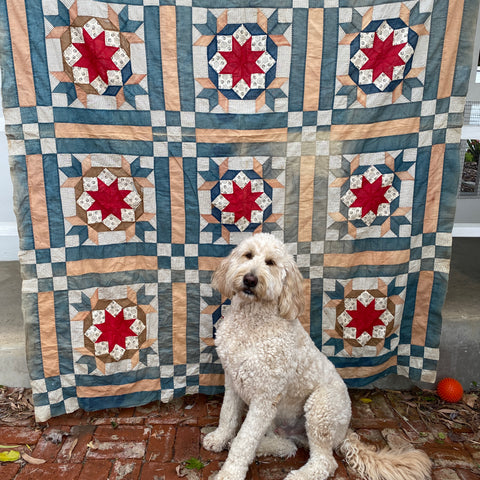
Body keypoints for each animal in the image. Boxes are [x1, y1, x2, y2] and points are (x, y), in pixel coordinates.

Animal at [202, 233, 432, 480]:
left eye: (271, 263)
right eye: (248, 255)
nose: (250, 279)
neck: (251, 322)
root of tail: (345, 432)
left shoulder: (265, 397)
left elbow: (244, 441)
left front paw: (230, 472)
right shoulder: (233, 380)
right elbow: (227, 416)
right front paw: (220, 438)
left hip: (320, 408)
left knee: (324, 462)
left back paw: (299, 475)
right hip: (281, 421)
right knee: (288, 446)